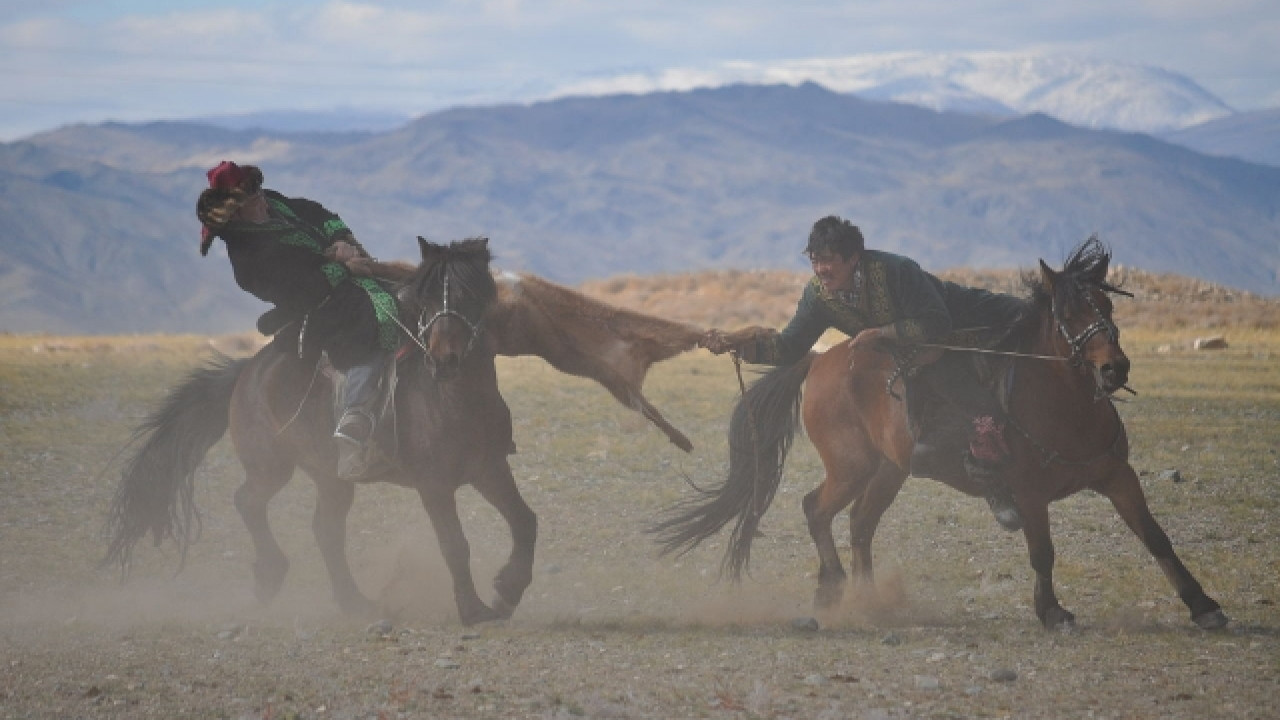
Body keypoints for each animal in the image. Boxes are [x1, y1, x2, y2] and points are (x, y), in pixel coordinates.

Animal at [104, 235, 706, 622]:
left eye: (472, 292)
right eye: (425, 293)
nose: (444, 356)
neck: (453, 400)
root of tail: (247, 370)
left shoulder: (488, 470)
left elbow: (526, 522)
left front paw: (507, 592)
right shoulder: (435, 485)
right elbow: (454, 544)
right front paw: (473, 608)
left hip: (332, 476)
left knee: (325, 529)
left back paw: (354, 602)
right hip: (273, 465)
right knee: (248, 501)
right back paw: (272, 575)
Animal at [655, 237, 1223, 627]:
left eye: (1107, 307)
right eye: (1067, 312)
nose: (1113, 369)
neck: (1063, 404)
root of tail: (818, 360)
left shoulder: (1118, 475)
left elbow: (1156, 536)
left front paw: (1203, 605)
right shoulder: (1030, 493)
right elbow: (1042, 551)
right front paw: (1052, 612)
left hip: (889, 470)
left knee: (860, 524)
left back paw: (868, 597)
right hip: (851, 466)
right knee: (817, 509)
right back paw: (836, 589)